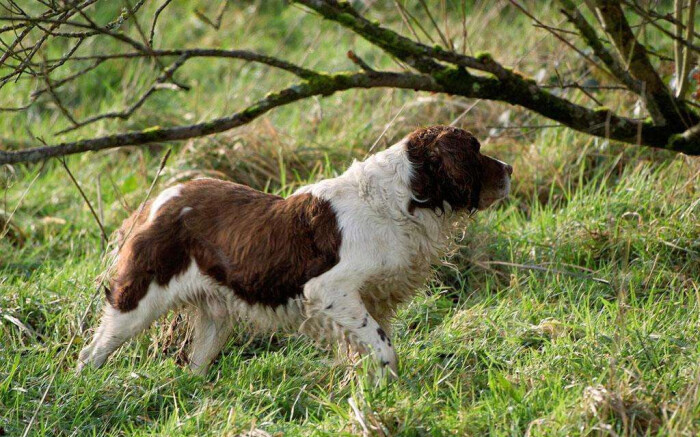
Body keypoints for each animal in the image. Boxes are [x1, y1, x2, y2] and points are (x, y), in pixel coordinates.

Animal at [78, 125, 516, 374]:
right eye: (476, 150)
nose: (510, 169)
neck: (397, 201)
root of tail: (158, 200)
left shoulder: (374, 299)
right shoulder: (330, 292)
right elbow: (384, 351)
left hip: (215, 318)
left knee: (193, 367)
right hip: (136, 301)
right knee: (92, 353)